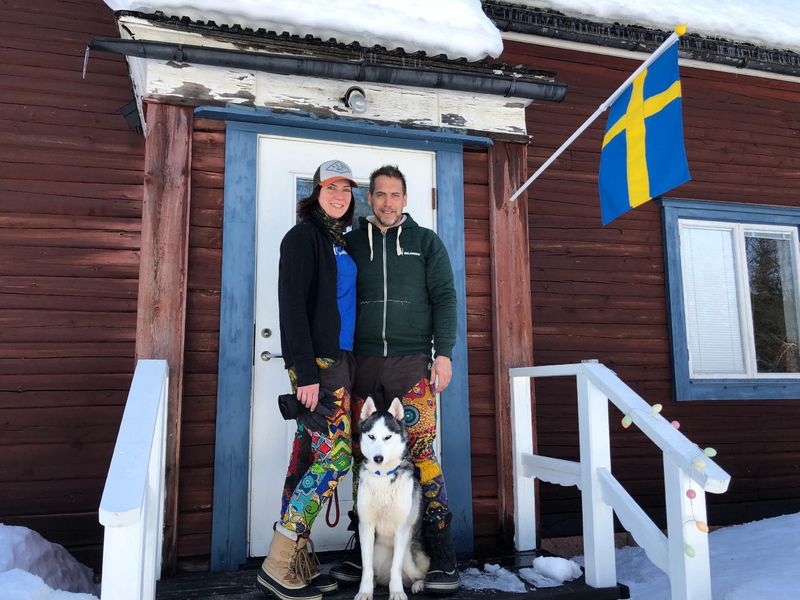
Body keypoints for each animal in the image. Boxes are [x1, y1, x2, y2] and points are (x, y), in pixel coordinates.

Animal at [356, 398, 432, 600]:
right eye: (371, 436)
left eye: (388, 437)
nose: (378, 458)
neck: (383, 475)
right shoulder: (366, 526)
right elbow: (366, 568)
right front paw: (364, 591)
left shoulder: (401, 529)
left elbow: (395, 568)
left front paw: (397, 592)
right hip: (377, 553)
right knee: (376, 572)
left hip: (409, 556)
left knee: (418, 573)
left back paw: (418, 585)